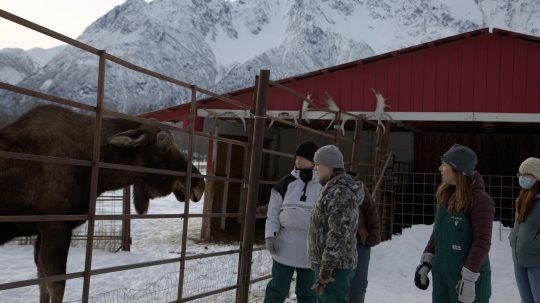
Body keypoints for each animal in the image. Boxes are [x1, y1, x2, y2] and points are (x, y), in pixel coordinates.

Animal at [0, 104, 206, 302]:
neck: (99, 177)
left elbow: (42, 284)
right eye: (163, 139)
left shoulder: (42, 232)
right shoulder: (56, 226)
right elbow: (56, 288)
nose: (200, 184)